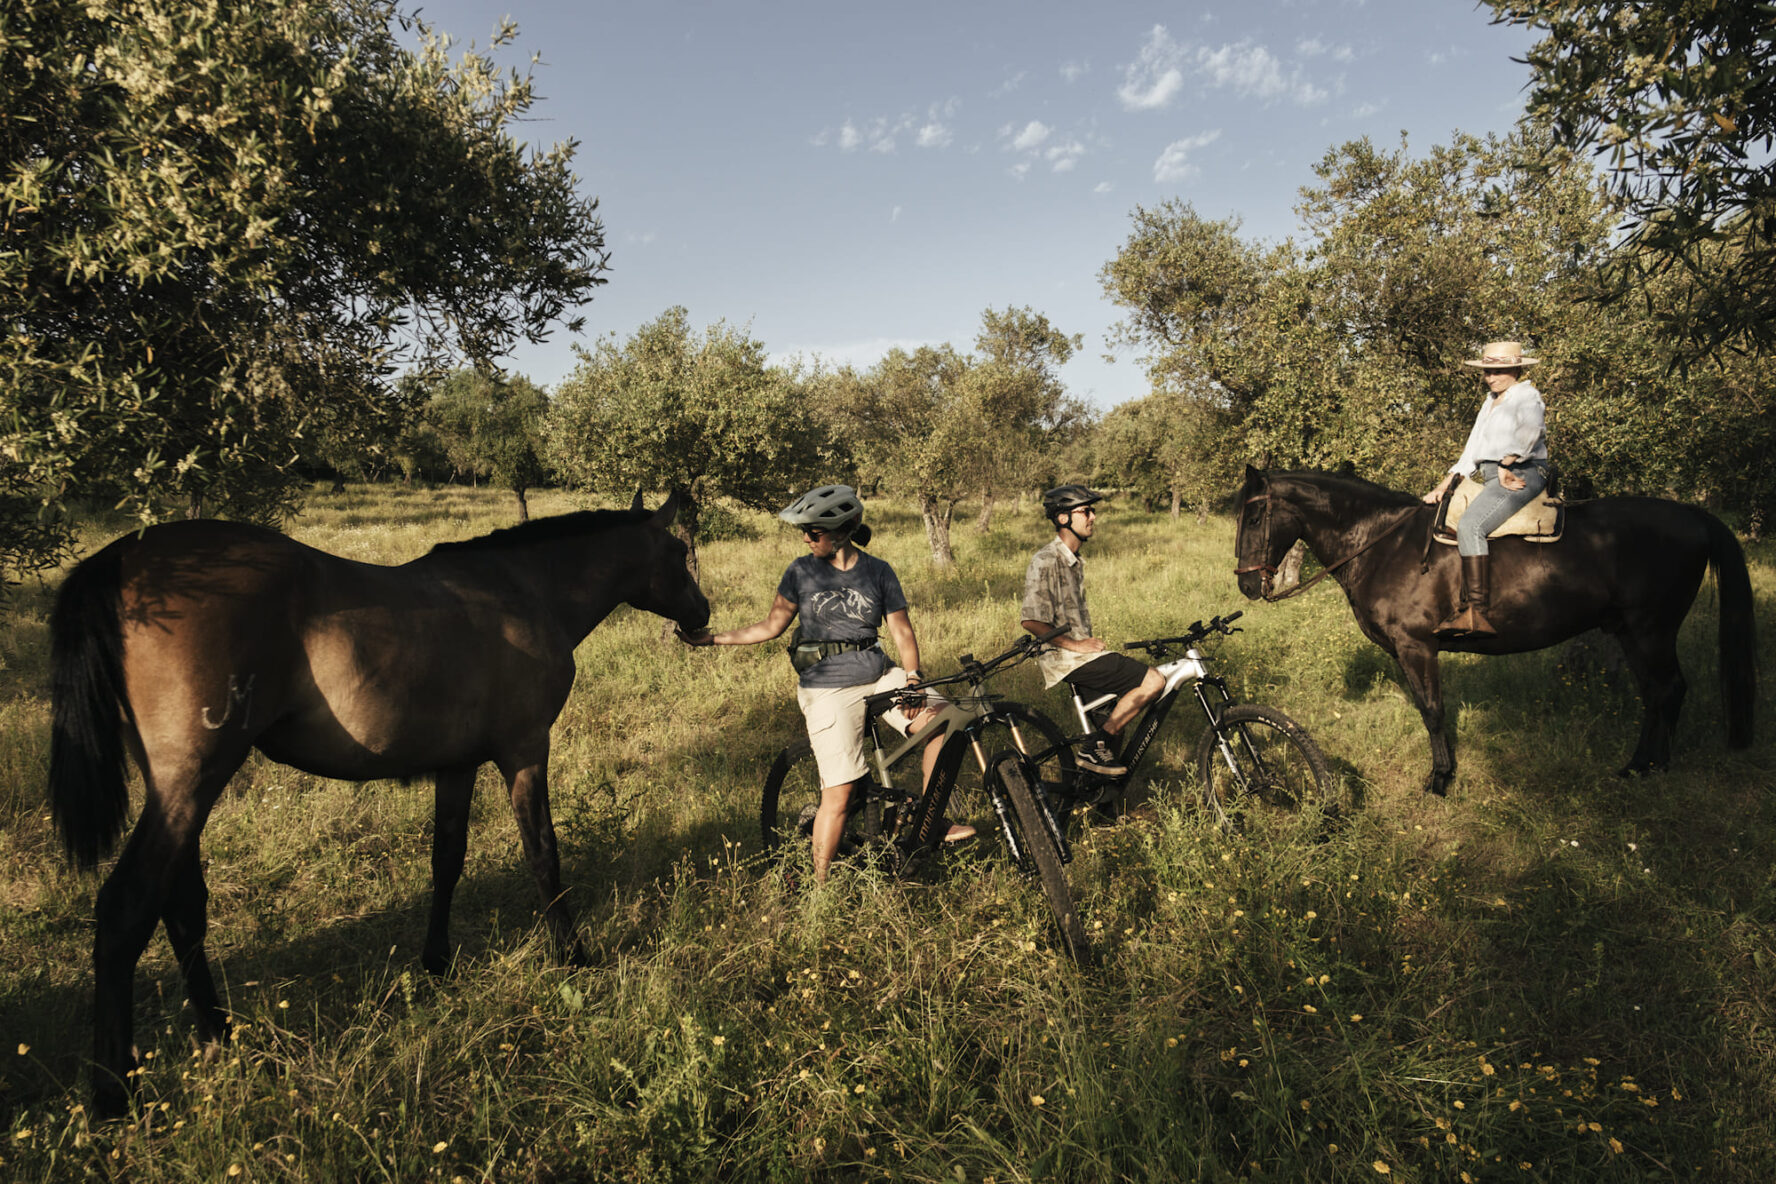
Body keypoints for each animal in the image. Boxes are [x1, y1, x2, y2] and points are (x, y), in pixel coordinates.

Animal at [48, 493, 709, 1117]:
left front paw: (437, 962)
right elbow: (543, 854)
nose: (703, 614)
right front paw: (573, 956)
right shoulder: (524, 751)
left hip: (178, 792)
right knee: (127, 909)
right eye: (679, 553)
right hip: (191, 783)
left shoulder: (457, 764)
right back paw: (115, 1094)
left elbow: (447, 858)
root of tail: (122, 560)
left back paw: (220, 1035)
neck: (525, 590)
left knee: (181, 907)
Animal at [1233, 466, 1756, 796]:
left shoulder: (1417, 647)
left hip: (1651, 631)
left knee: (1669, 690)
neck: (1385, 542)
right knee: (1656, 695)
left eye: (1254, 516)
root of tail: (1695, 516)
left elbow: (1433, 712)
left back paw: (1650, 767)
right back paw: (1639, 766)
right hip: (1630, 632)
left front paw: (1440, 780)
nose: (1246, 583)